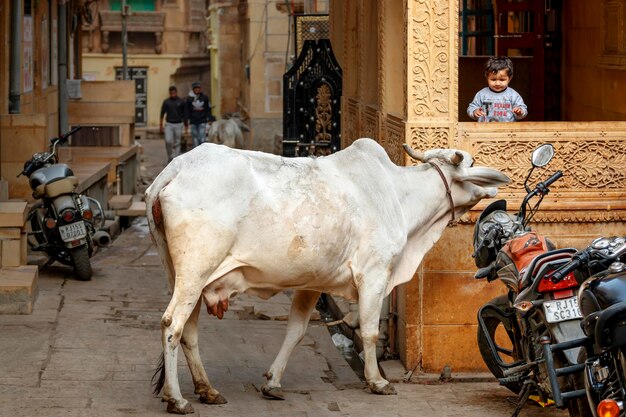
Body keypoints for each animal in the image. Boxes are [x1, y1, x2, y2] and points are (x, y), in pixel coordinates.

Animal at [145, 137, 508, 412]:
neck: (397, 195)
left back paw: (207, 390)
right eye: (472, 161)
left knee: (188, 332)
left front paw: (273, 382)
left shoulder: (311, 283)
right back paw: (177, 399)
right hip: (196, 270)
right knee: (172, 325)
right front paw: (377, 380)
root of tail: (176, 168)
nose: (498, 187)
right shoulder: (374, 274)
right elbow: (370, 332)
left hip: (183, 276)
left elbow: (296, 331)